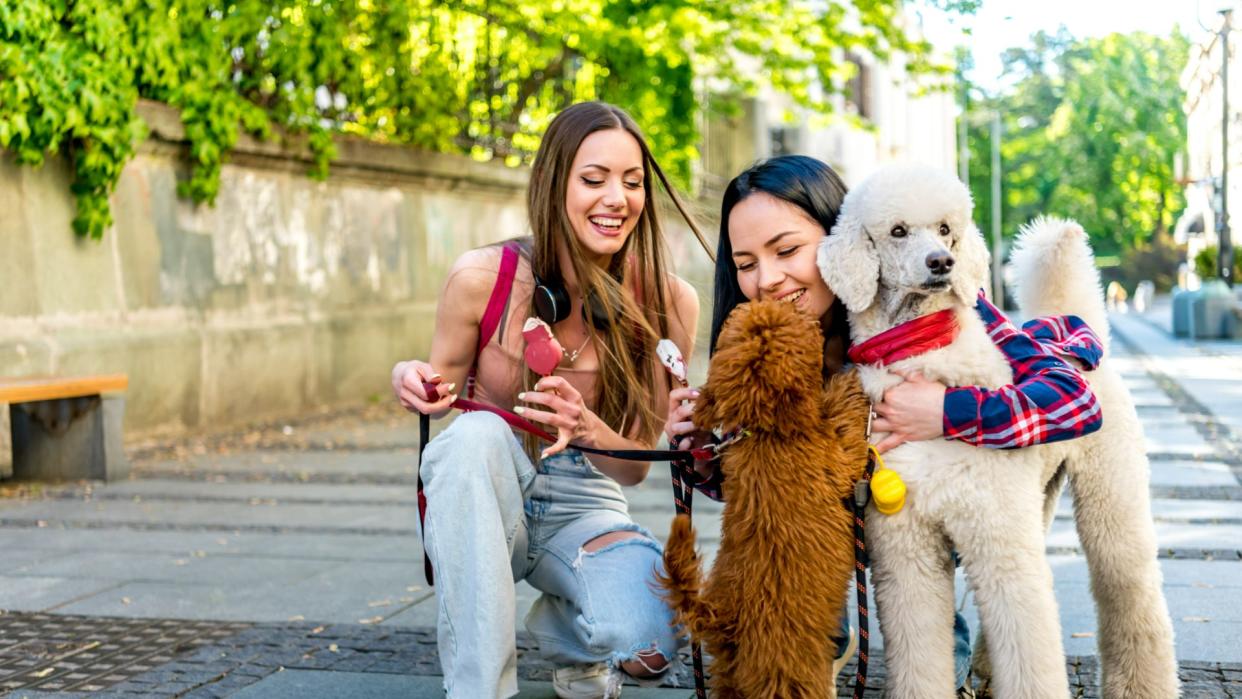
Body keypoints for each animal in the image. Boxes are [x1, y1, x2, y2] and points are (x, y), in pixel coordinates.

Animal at [660, 300, 874, 699]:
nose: (785, 300)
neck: (766, 431)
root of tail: (719, 615)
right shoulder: (835, 459)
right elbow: (844, 424)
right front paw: (852, 383)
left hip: (730, 668)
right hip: (786, 669)